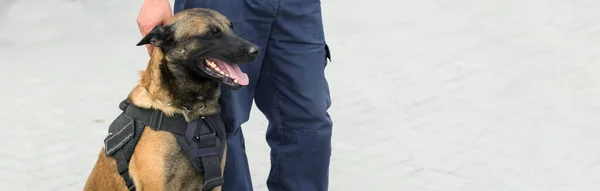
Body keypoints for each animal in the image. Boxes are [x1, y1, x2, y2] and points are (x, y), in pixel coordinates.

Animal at [82, 7, 260, 191]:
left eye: (231, 28)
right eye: (211, 33)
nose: (256, 50)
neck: (192, 110)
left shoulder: (215, 182)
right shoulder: (157, 185)